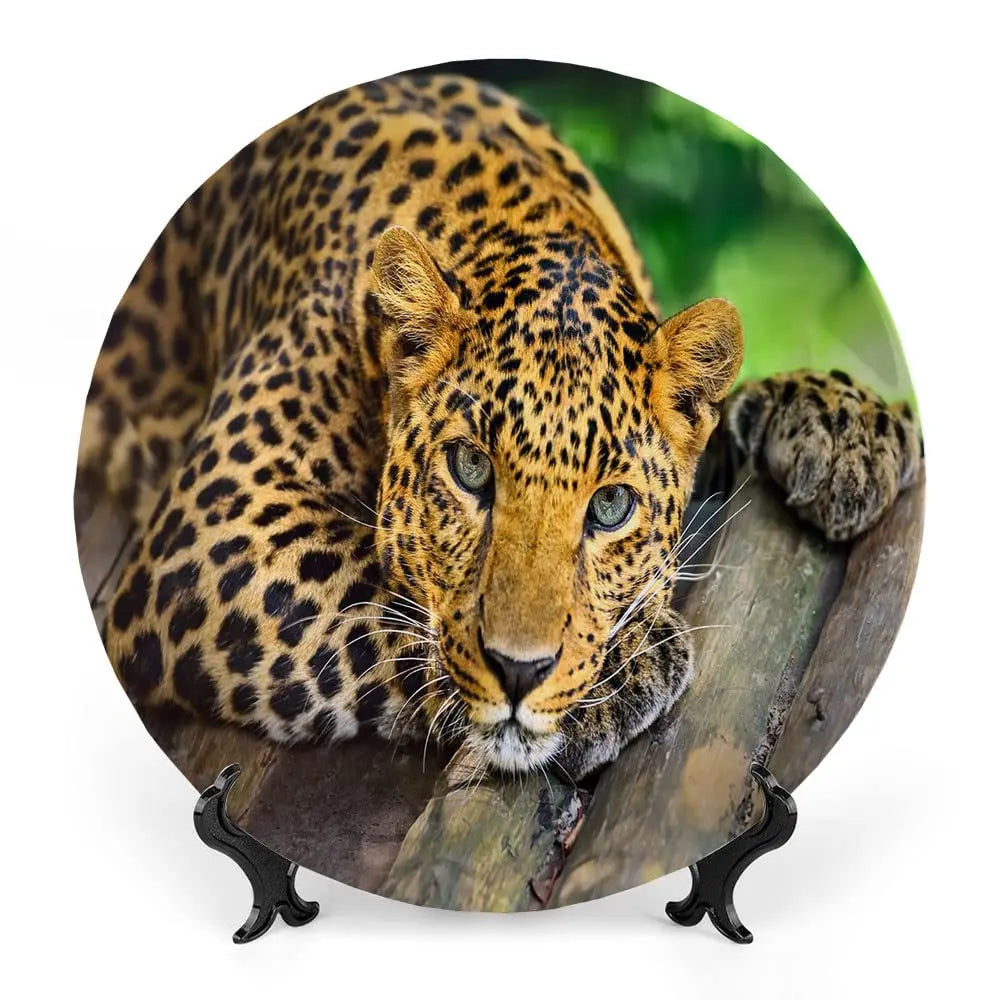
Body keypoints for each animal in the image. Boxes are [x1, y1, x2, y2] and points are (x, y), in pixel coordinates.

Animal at [77, 73, 923, 780]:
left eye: (610, 505)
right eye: (471, 470)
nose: (520, 671)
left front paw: (846, 424)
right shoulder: (219, 519)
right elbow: (380, 590)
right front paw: (621, 670)